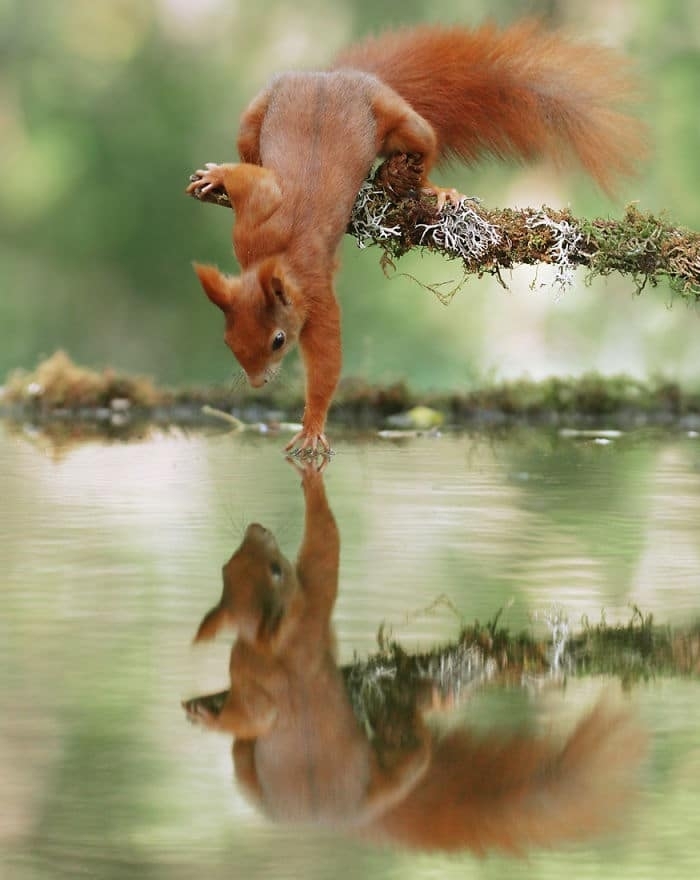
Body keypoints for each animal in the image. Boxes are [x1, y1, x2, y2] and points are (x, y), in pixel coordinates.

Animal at [183, 460, 646, 854]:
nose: (256, 529)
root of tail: (348, 821)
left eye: (228, 567)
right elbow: (325, 547)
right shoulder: (311, 613)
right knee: (411, 745)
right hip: (380, 769)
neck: (271, 644)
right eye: (274, 570)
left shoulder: (254, 663)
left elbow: (250, 713)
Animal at [186, 22, 646, 453]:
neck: (274, 258)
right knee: (249, 148)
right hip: (257, 114)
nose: (257, 383)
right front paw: (216, 176)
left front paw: (313, 427)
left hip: (398, 120)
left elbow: (327, 363)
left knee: (423, 144)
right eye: (227, 339)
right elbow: (250, 179)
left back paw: (434, 189)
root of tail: (337, 76)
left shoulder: (315, 295)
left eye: (279, 340)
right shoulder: (255, 220)